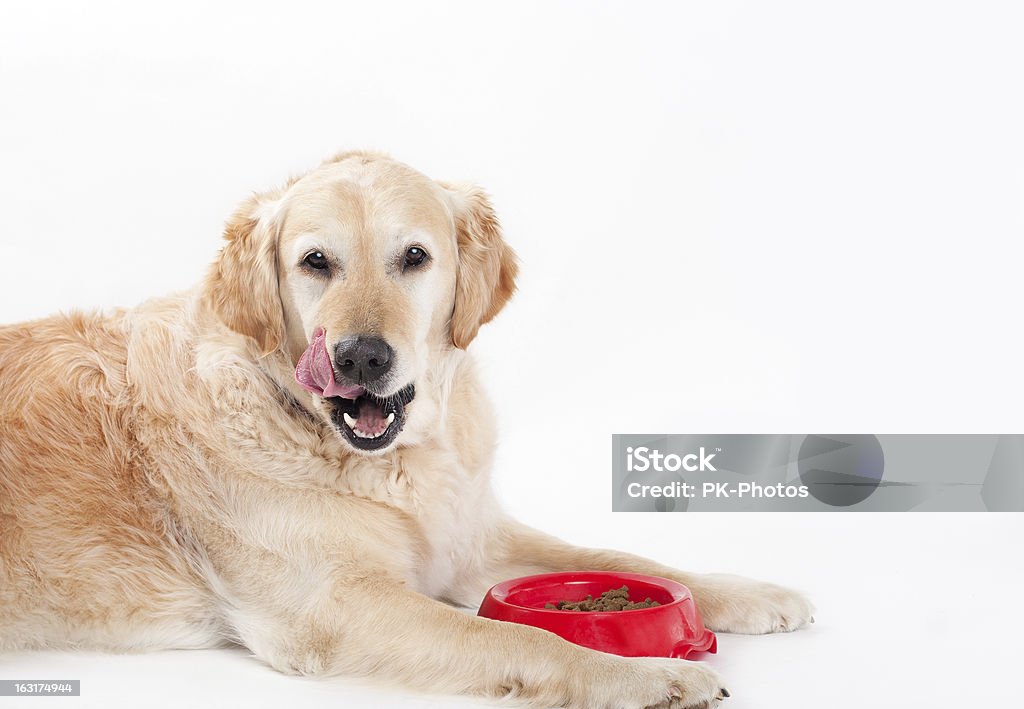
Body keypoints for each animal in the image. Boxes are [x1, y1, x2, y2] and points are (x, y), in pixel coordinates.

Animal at [2, 152, 815, 704]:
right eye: (316, 262)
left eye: (414, 256)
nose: (361, 355)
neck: (390, 459)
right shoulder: (334, 607)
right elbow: (511, 633)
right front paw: (645, 674)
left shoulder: (470, 539)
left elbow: (620, 554)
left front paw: (751, 592)